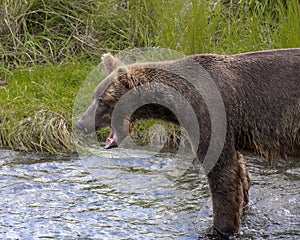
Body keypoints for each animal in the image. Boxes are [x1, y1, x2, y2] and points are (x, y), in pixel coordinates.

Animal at [75, 48, 300, 236]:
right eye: (94, 97)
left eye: (102, 100)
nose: (80, 123)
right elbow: (240, 176)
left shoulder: (212, 118)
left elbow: (222, 175)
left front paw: (222, 228)